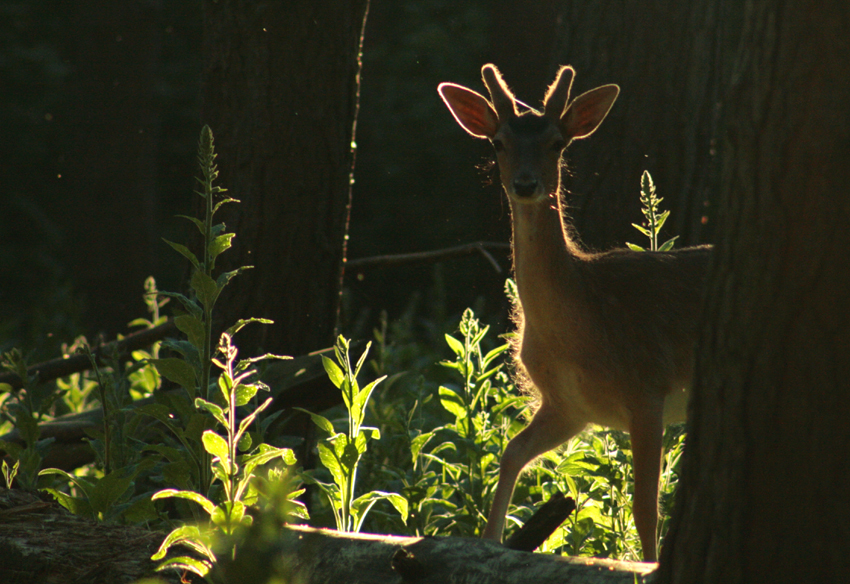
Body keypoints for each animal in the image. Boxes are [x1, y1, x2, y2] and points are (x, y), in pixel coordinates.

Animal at [438, 65, 708, 560]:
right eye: (497, 142)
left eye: (557, 143)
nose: (526, 184)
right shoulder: (568, 405)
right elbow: (511, 453)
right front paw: (489, 544)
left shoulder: (648, 385)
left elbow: (645, 507)